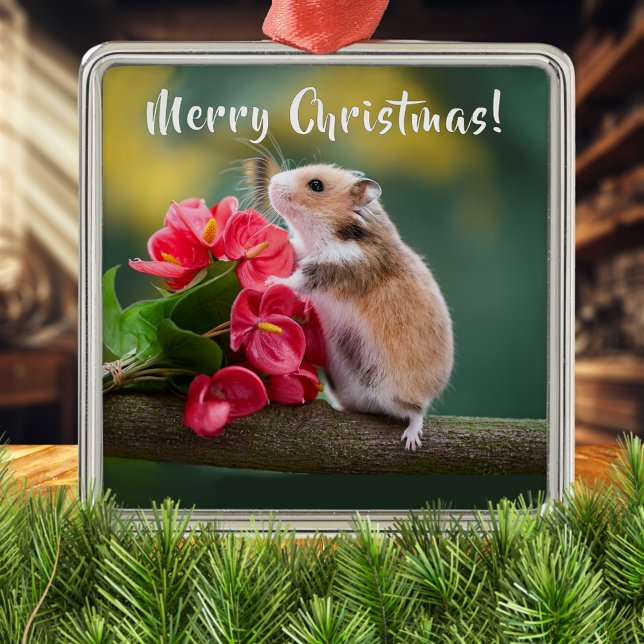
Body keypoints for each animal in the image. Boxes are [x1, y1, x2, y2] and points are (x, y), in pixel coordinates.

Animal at [267, 164, 453, 450]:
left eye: (316, 185)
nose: (271, 183)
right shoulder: (309, 254)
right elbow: (295, 250)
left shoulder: (334, 268)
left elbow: (297, 280)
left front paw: (271, 281)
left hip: (393, 390)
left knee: (416, 410)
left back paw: (412, 440)